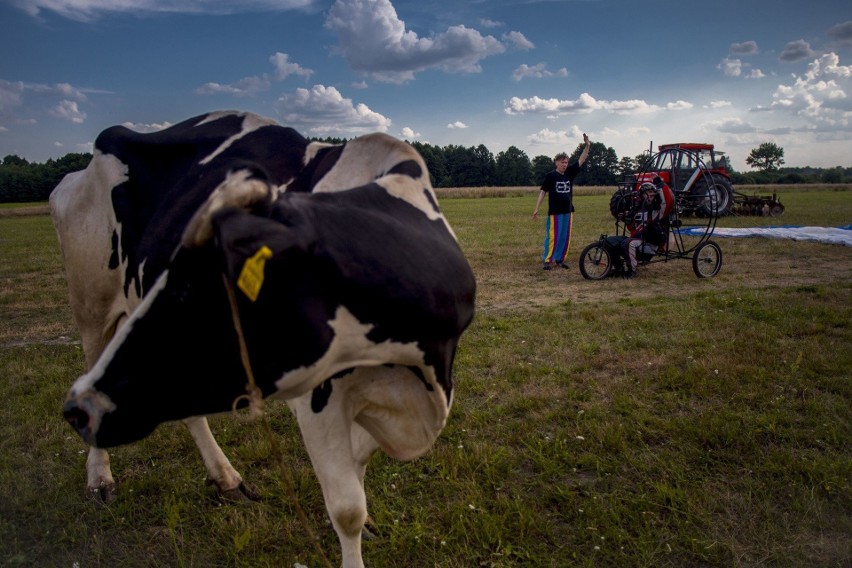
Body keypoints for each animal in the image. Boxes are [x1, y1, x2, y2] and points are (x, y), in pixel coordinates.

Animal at [52, 108, 476, 564]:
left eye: (193, 287)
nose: (77, 410)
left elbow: (359, 472)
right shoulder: (319, 400)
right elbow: (347, 509)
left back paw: (225, 477)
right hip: (92, 304)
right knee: (93, 358)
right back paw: (100, 478)